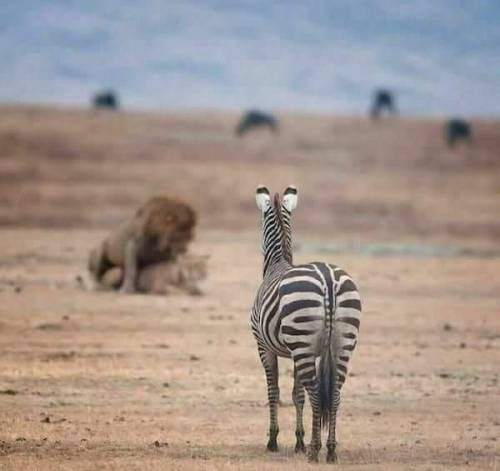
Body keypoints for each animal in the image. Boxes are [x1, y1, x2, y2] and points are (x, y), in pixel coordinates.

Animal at [252, 185, 362, 464]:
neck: (278, 263)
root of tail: (328, 279)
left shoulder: (264, 347)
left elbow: (275, 392)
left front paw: (274, 441)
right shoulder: (299, 351)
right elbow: (296, 394)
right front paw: (298, 441)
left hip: (302, 342)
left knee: (315, 393)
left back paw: (315, 450)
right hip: (342, 344)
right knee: (334, 393)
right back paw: (330, 449)